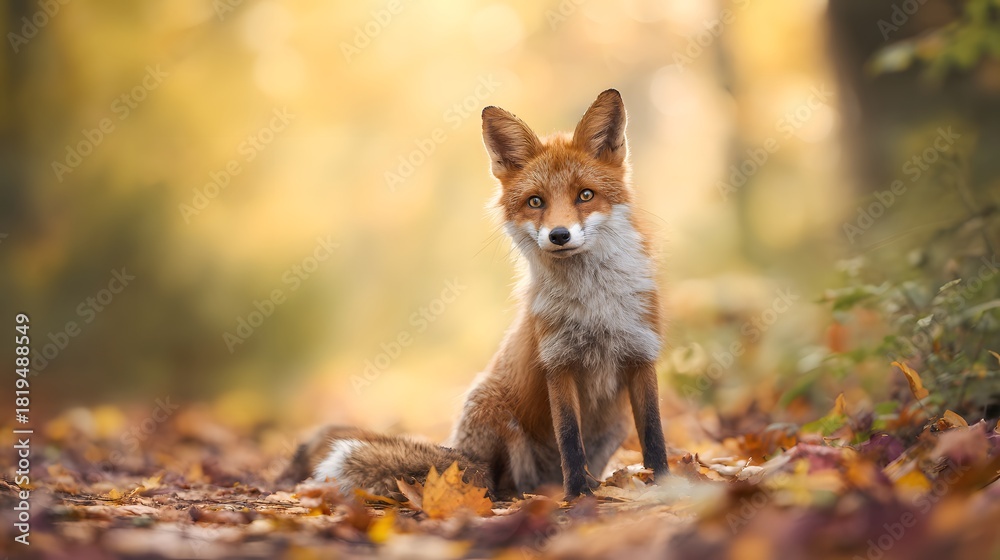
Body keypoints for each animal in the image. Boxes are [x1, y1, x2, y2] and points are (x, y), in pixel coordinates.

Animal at [284, 89, 669, 499]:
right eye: (536, 201)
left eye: (585, 195)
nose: (559, 235)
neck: (594, 303)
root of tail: (463, 454)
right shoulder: (558, 362)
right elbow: (569, 439)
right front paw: (578, 496)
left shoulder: (641, 353)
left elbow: (654, 433)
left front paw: (667, 483)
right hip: (495, 415)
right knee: (495, 483)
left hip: (613, 426)